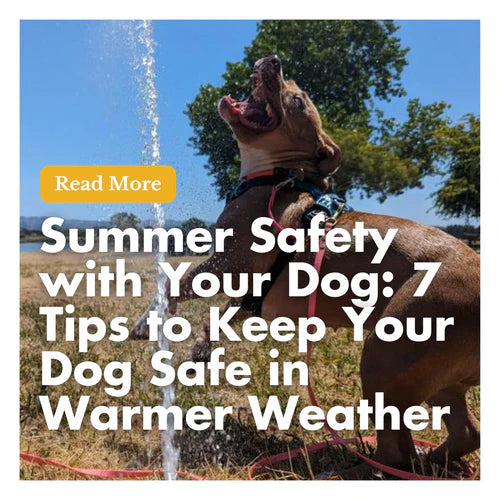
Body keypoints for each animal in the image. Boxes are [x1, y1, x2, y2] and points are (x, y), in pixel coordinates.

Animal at [133, 53, 480, 476]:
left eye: (297, 100)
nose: (274, 59)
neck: (279, 175)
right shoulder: (249, 294)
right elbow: (219, 318)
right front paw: (200, 350)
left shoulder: (227, 263)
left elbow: (175, 283)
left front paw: (146, 323)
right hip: (438, 377)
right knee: (465, 433)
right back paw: (432, 461)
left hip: (388, 354)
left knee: (396, 447)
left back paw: (351, 469)